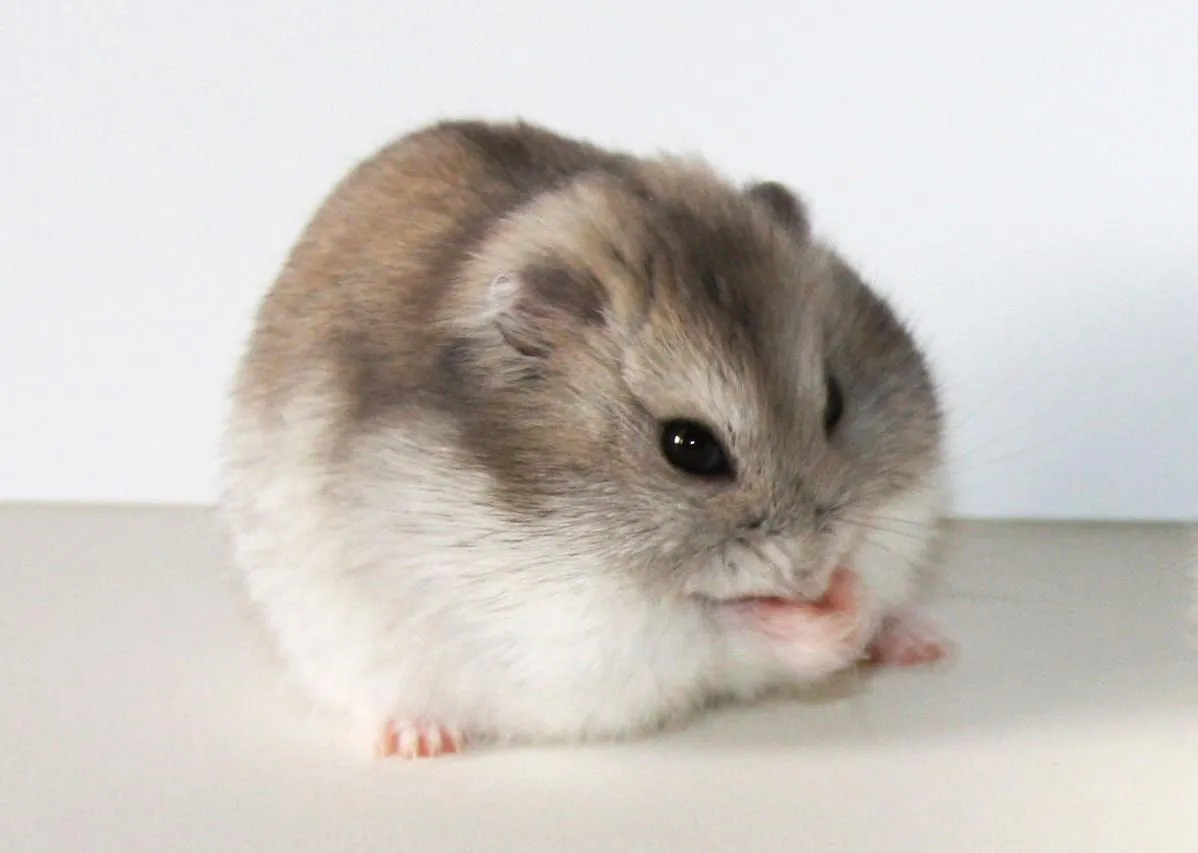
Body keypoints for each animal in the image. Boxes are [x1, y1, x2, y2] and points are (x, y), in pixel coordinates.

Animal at [220, 119, 949, 759]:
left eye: (834, 403)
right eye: (689, 447)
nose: (810, 571)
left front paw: (855, 600)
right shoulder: (592, 628)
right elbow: (720, 627)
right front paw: (828, 613)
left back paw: (922, 642)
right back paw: (419, 741)